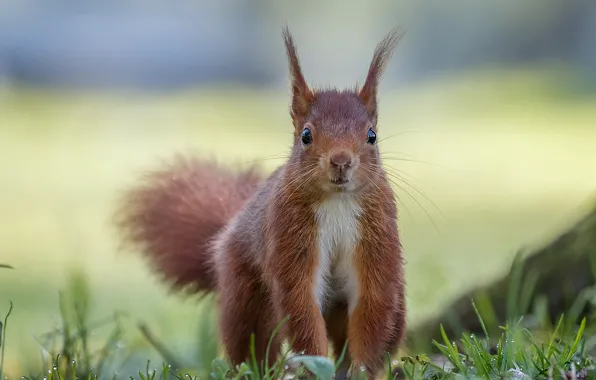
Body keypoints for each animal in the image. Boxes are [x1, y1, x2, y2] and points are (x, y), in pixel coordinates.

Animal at [116, 27, 406, 380]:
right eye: (306, 135)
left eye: (372, 135)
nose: (340, 161)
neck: (337, 202)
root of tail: (229, 228)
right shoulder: (287, 236)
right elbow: (300, 303)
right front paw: (315, 366)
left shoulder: (376, 238)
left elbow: (372, 303)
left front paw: (362, 370)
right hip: (246, 294)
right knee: (253, 340)